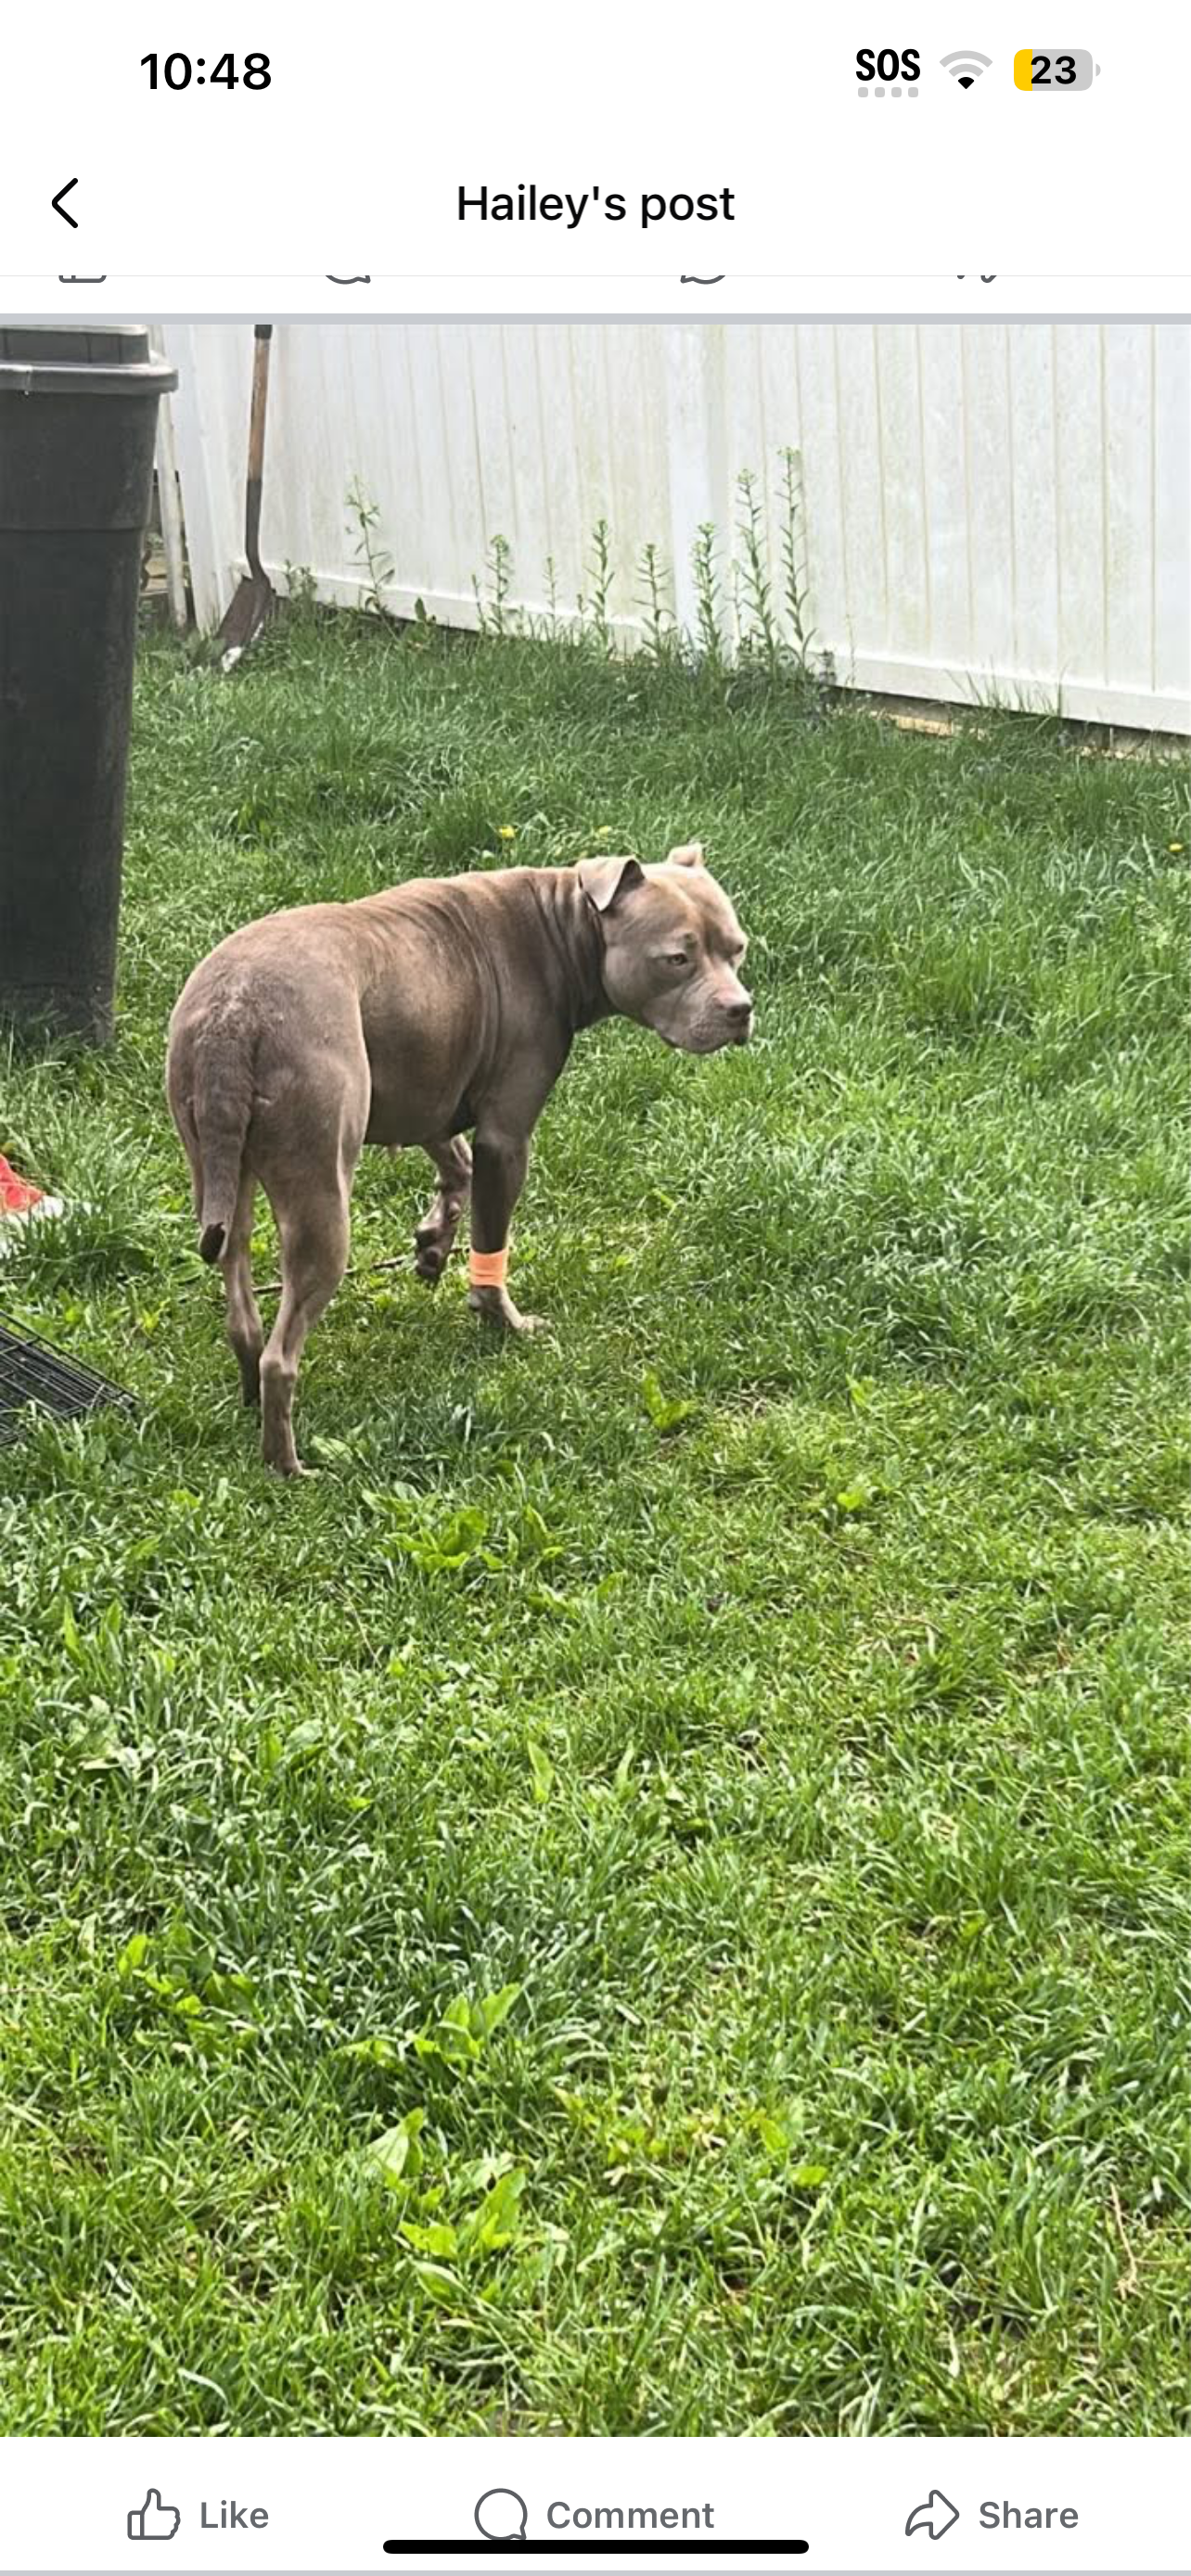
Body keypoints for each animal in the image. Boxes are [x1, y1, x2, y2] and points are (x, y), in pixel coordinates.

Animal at [166, 842, 752, 1474]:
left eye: (738, 948)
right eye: (677, 958)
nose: (741, 1009)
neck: (562, 927)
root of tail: (235, 1012)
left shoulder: (429, 1094)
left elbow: (458, 1165)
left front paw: (432, 1243)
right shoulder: (507, 1135)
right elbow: (492, 1240)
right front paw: (503, 1319)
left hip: (221, 1175)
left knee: (243, 1313)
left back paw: (251, 1396)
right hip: (321, 1199)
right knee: (282, 1355)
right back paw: (288, 1465)